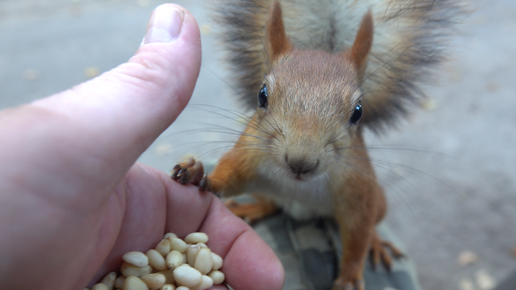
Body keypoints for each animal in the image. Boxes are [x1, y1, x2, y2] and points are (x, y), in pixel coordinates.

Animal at [171, 1, 458, 288]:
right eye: (262, 95)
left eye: (358, 112)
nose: (301, 163)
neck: (299, 186)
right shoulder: (248, 155)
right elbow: (230, 176)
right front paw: (199, 175)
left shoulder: (359, 193)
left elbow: (358, 237)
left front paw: (350, 276)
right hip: (263, 188)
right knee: (271, 203)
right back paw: (252, 207)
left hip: (379, 199)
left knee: (371, 226)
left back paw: (377, 243)